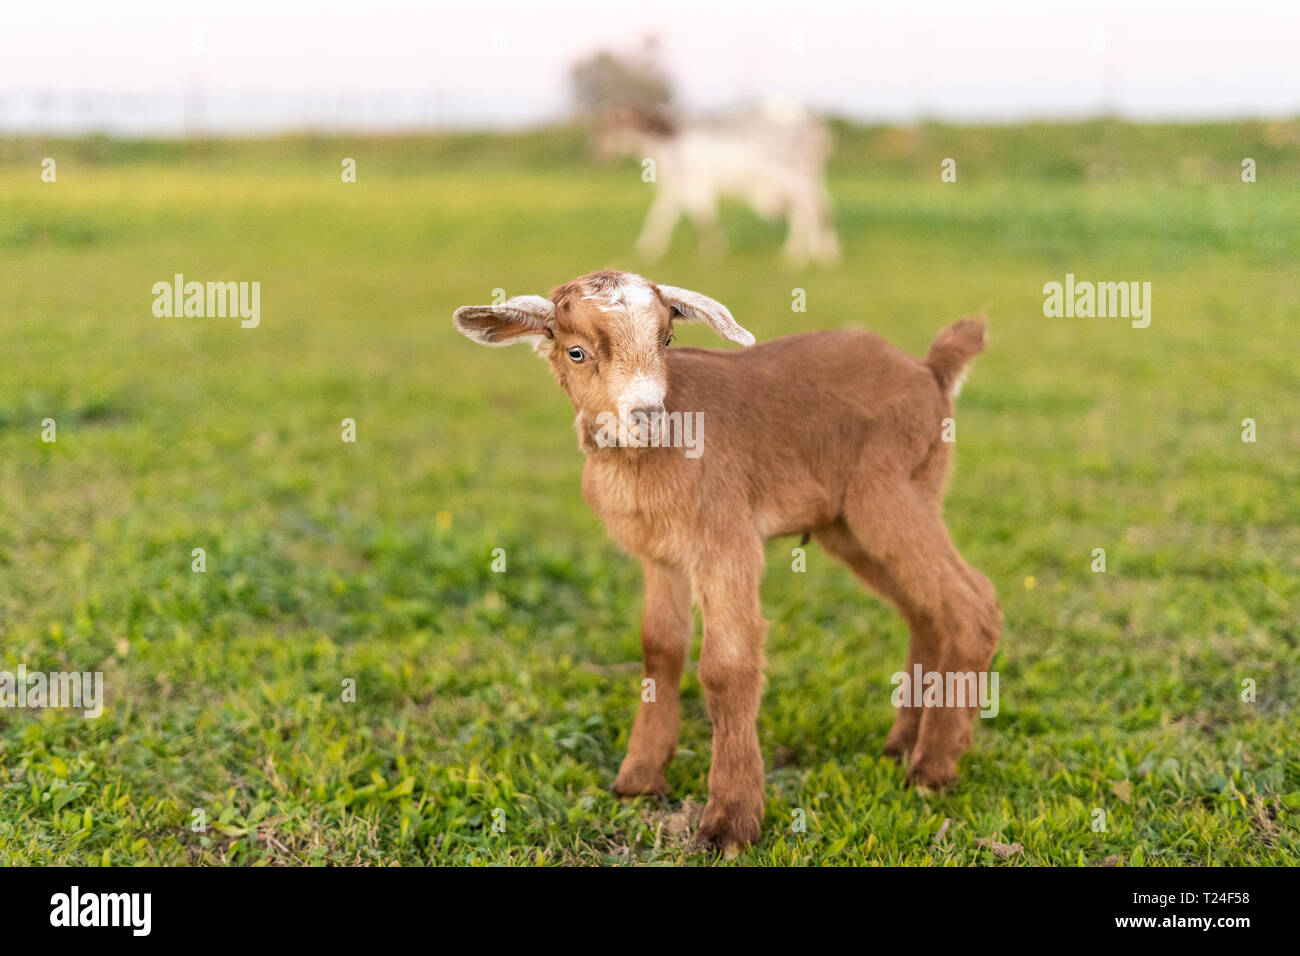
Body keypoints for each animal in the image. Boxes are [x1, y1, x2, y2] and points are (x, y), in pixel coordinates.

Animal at [457, 273, 1003, 858]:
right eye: (576, 351)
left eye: (667, 340)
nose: (648, 417)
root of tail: (930, 370)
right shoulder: (661, 555)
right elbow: (660, 649)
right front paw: (638, 779)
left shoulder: (726, 538)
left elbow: (727, 667)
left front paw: (730, 823)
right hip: (852, 524)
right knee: (927, 612)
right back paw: (902, 745)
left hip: (888, 493)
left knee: (972, 604)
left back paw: (932, 769)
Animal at [592, 102, 837, 267]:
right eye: (599, 128)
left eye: (607, 128)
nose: (597, 153)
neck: (667, 141)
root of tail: (814, 125)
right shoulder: (677, 187)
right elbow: (662, 216)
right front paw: (649, 249)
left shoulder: (694, 185)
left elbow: (701, 216)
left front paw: (712, 251)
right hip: (809, 177)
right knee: (819, 208)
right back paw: (824, 253)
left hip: (792, 179)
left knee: (810, 210)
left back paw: (798, 256)